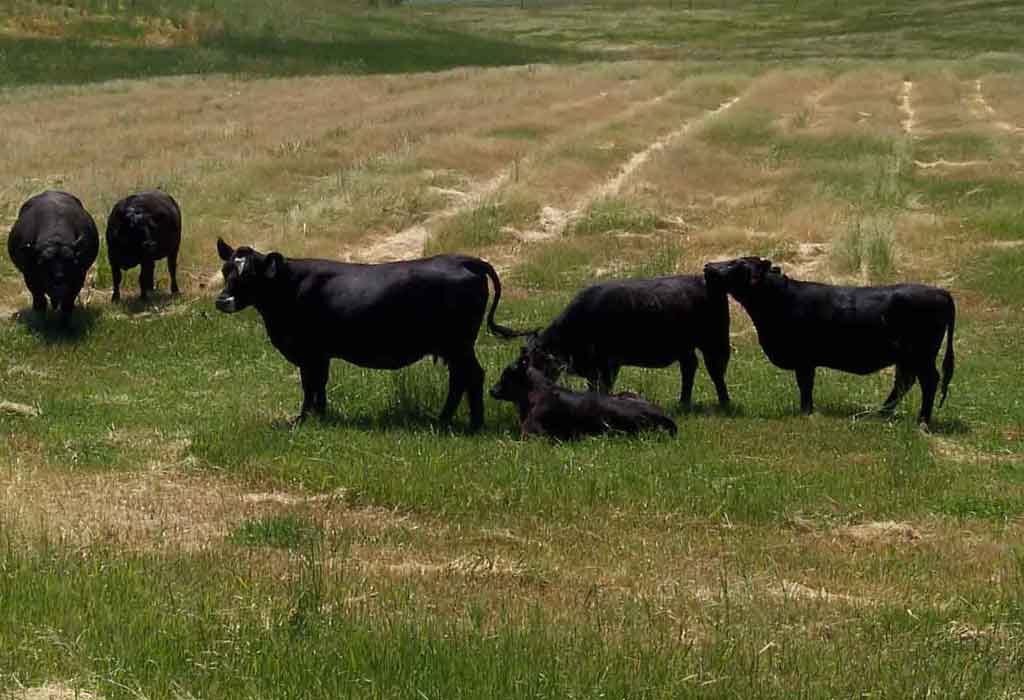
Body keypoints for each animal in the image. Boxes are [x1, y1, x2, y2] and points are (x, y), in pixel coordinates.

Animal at [7, 190, 99, 325]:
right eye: (42, 262)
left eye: (71, 261)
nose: (58, 280)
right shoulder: (30, 277)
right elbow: (40, 301)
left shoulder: (78, 278)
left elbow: (67, 303)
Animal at [214, 239, 529, 429]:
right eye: (226, 269)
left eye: (249, 274)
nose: (222, 300)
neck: (288, 286)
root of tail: (466, 259)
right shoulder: (320, 354)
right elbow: (319, 385)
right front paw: (321, 416)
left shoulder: (310, 352)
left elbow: (309, 385)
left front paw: (303, 419)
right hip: (455, 347)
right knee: (462, 378)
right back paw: (452, 421)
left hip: (458, 344)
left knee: (470, 377)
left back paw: (462, 424)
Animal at [523, 275, 731, 410]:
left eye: (538, 361)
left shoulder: (606, 364)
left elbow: (603, 387)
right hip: (686, 349)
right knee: (690, 368)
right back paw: (683, 403)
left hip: (713, 342)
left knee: (715, 371)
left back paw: (724, 403)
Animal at [703, 256, 955, 426]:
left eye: (737, 264)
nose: (708, 266)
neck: (780, 299)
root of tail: (941, 292)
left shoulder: (804, 359)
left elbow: (805, 386)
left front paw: (806, 412)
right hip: (908, 357)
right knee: (904, 382)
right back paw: (880, 414)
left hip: (921, 355)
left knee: (928, 381)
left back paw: (922, 421)